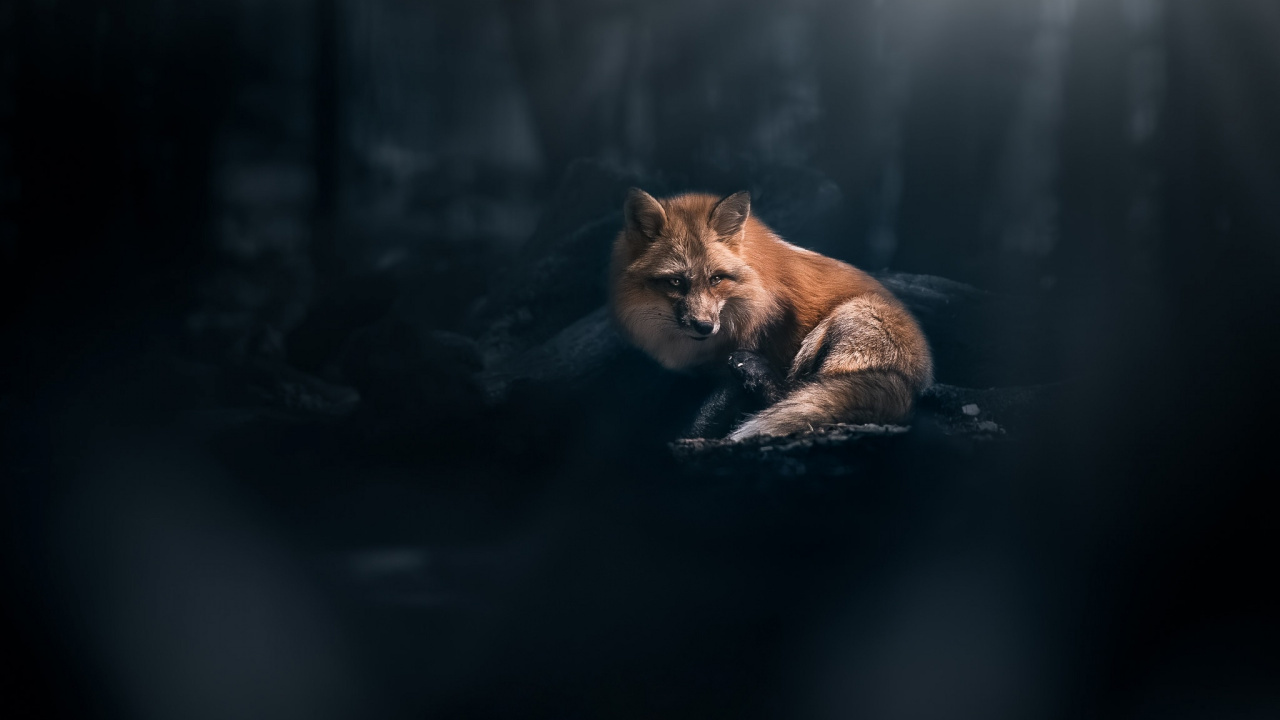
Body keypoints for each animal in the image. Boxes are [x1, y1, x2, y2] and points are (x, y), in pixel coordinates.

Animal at [609, 188, 933, 440]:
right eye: (676, 282)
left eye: (716, 279)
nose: (704, 327)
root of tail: (915, 386)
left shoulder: (750, 349)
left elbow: (705, 417)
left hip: (846, 320)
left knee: (794, 395)